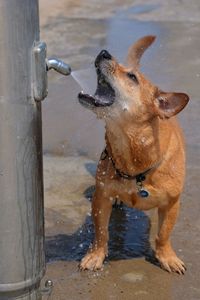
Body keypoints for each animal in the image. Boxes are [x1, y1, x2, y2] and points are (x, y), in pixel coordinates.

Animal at [78, 35, 189, 274]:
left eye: (131, 77)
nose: (104, 52)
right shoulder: (101, 198)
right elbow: (101, 232)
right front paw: (96, 255)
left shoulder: (172, 204)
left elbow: (163, 235)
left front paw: (167, 257)